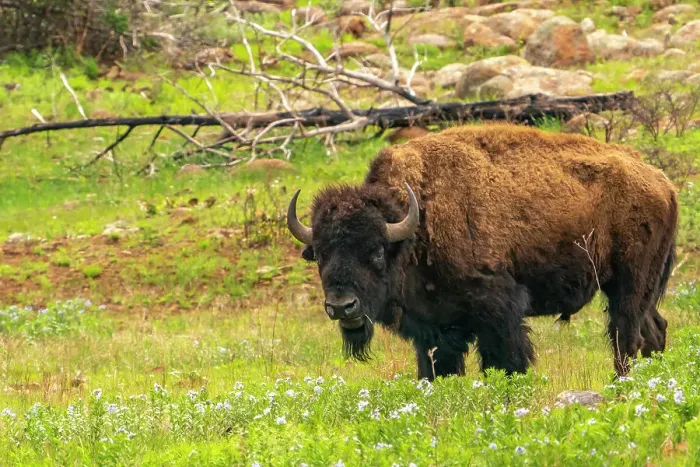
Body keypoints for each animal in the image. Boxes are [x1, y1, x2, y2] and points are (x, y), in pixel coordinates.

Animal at [286, 124, 678, 380]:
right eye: (320, 254)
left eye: (377, 251)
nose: (342, 306)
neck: (417, 221)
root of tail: (661, 182)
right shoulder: (434, 328)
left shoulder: (499, 312)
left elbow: (506, 362)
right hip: (643, 288)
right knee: (653, 330)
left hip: (629, 285)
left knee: (626, 336)